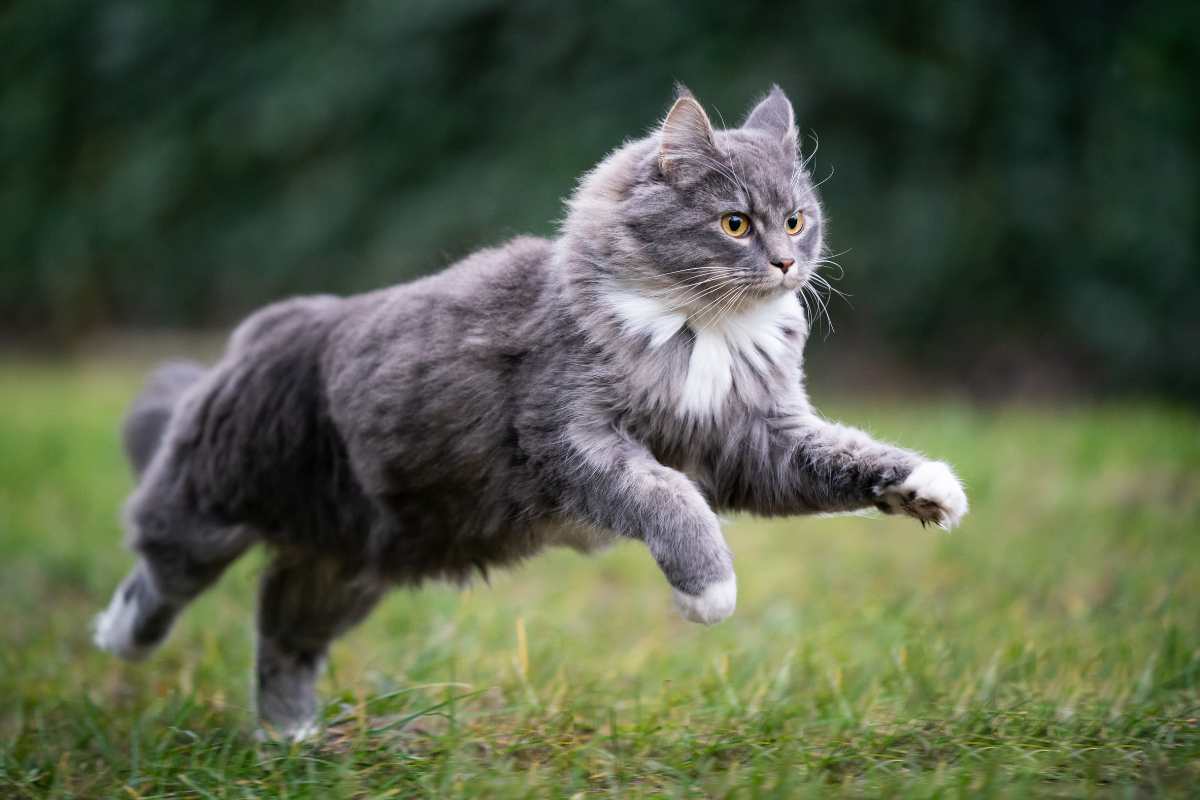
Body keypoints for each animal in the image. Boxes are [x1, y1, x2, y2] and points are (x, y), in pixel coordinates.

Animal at [98, 86, 969, 738]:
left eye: (795, 220)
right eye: (734, 224)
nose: (787, 263)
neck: (704, 334)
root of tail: (260, 329)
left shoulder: (758, 442)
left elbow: (846, 458)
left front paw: (927, 489)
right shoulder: (573, 435)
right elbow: (667, 498)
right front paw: (709, 590)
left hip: (343, 569)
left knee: (281, 632)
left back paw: (291, 739)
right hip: (210, 508)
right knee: (158, 572)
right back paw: (120, 638)